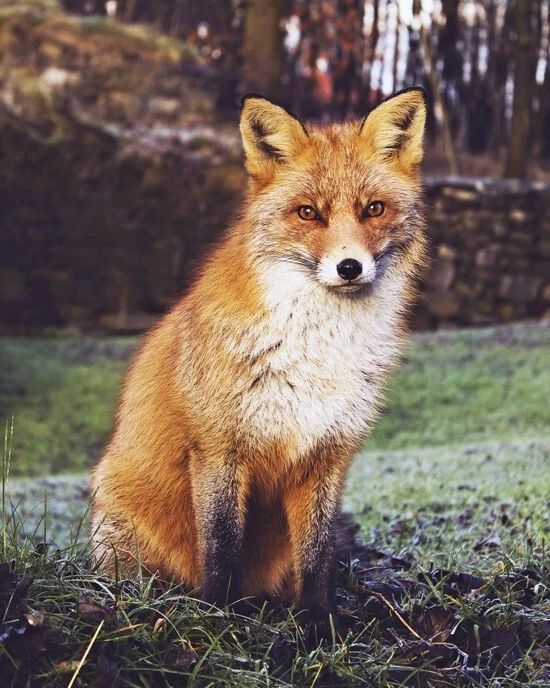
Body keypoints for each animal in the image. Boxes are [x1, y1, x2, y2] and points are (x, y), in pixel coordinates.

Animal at [91, 88, 428, 626]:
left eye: (373, 209)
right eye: (308, 213)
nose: (349, 267)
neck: (316, 352)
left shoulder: (327, 455)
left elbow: (317, 556)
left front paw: (318, 624)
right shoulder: (219, 448)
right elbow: (221, 546)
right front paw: (219, 618)